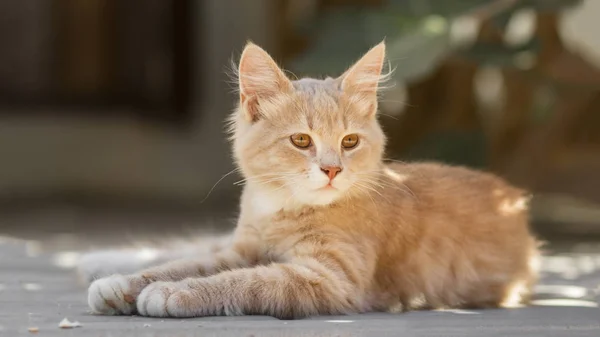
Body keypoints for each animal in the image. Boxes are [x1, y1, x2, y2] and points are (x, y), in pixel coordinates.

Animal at [83, 41, 540, 318]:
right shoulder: (241, 248)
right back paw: (101, 264)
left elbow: (244, 281)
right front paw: (128, 284)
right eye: (301, 140)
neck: (281, 209)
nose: (332, 169)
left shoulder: (329, 279)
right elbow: (182, 263)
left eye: (349, 141)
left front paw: (177, 293)